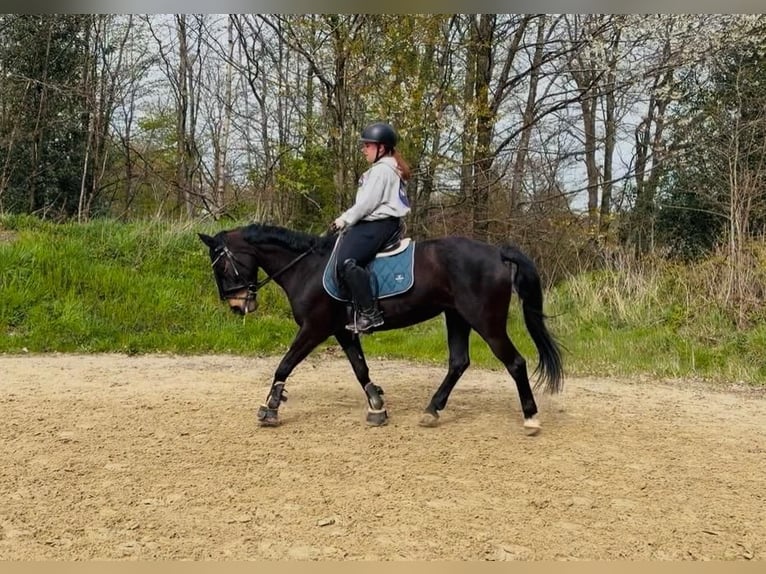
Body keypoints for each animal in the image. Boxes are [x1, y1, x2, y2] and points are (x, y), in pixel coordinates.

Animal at [198, 223, 564, 435]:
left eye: (222, 265)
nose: (238, 306)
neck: (306, 267)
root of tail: (498, 252)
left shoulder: (315, 328)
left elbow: (284, 364)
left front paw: (270, 408)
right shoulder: (343, 331)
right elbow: (360, 369)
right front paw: (377, 406)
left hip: (485, 321)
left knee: (515, 363)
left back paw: (531, 418)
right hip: (456, 317)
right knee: (459, 362)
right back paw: (431, 411)